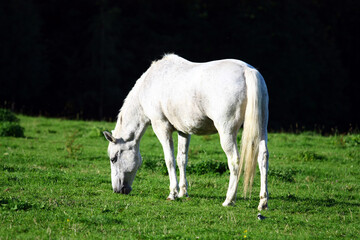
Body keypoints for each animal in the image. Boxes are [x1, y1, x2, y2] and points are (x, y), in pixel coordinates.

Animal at [102, 53, 268, 209]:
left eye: (113, 159)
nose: (117, 190)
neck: (150, 84)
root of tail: (247, 70)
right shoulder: (184, 131)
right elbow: (182, 160)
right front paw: (183, 192)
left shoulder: (161, 127)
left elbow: (169, 160)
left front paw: (173, 193)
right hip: (261, 131)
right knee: (263, 158)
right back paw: (263, 202)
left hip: (227, 133)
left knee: (234, 161)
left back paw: (229, 200)